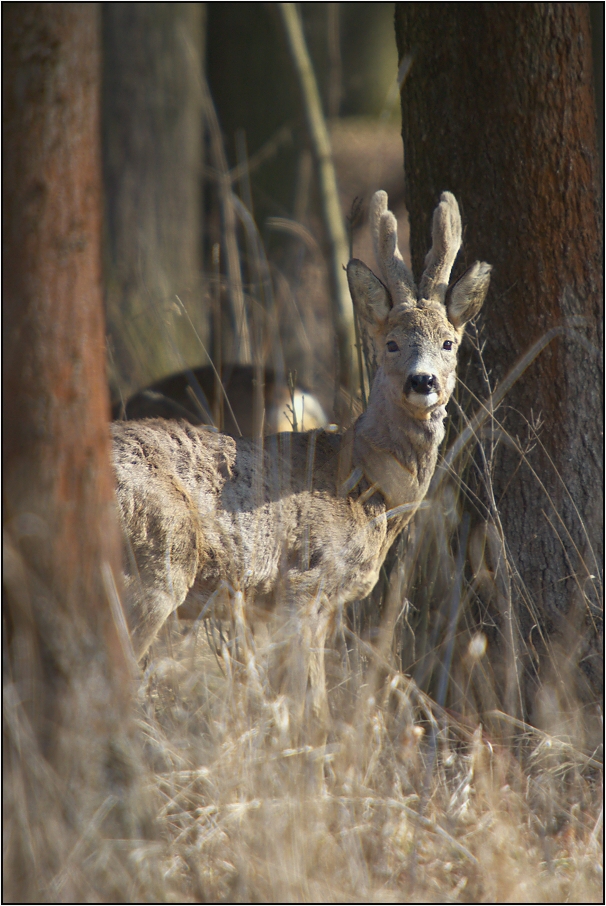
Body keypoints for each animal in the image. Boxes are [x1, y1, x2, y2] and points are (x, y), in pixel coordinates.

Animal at [113, 192, 494, 736]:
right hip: (155, 564)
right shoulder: (302, 583)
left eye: (449, 342)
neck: (361, 484)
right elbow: (309, 703)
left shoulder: (301, 608)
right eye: (390, 343)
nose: (422, 382)